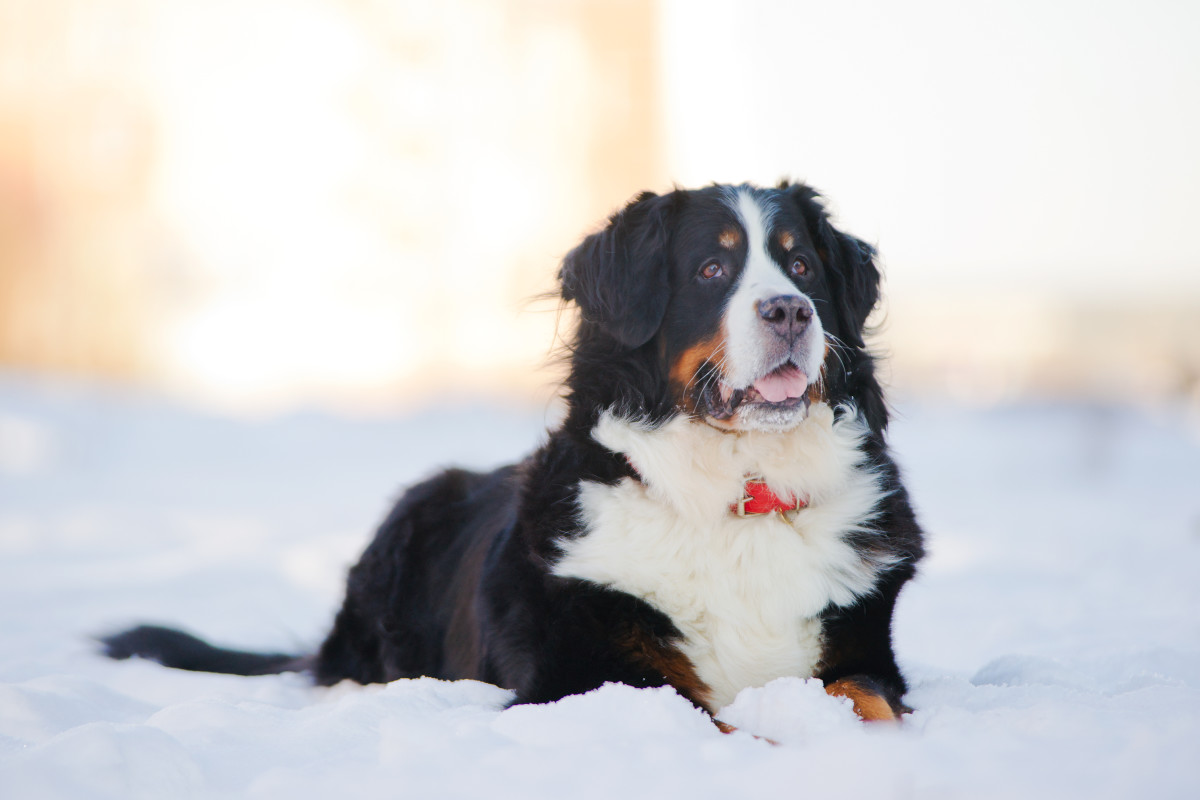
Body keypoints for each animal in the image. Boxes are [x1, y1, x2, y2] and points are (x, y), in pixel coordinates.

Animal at [103, 179, 926, 724]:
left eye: (803, 266)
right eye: (711, 269)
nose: (791, 311)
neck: (739, 491)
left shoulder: (863, 658)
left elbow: (869, 702)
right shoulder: (584, 675)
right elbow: (714, 719)